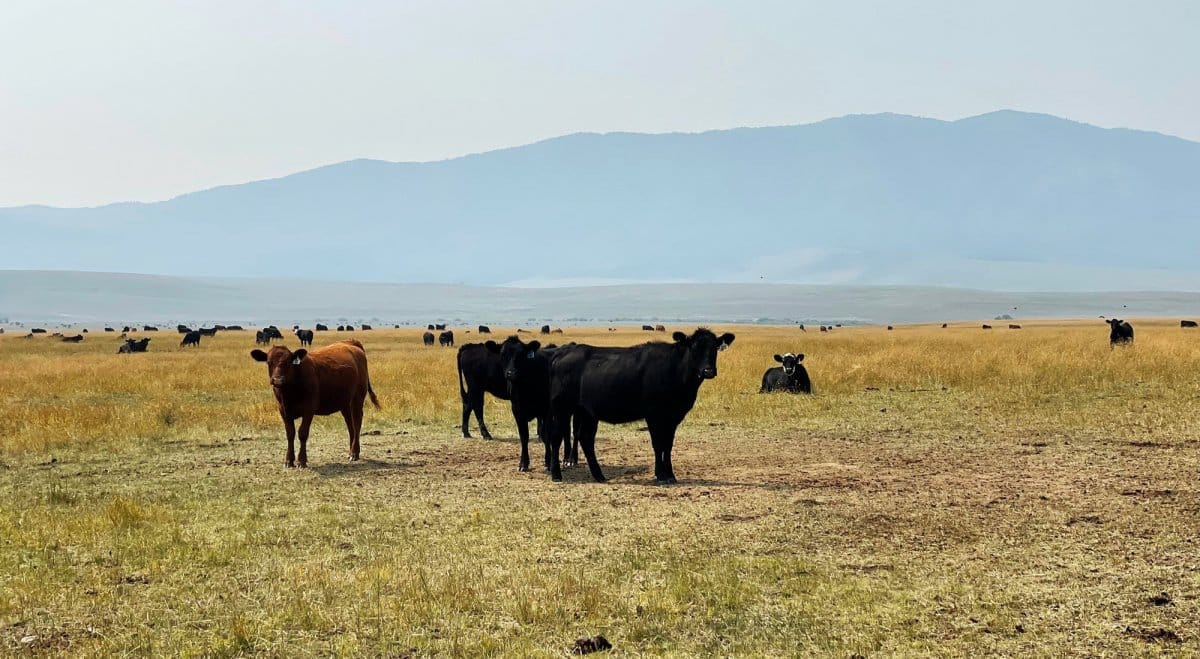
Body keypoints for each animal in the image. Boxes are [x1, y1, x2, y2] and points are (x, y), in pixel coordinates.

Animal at [250, 340, 379, 467]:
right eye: (269, 362)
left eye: (288, 362)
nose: (277, 380)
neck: (289, 392)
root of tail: (350, 343)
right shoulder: (284, 411)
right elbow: (290, 434)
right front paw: (289, 460)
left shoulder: (309, 409)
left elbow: (302, 433)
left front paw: (301, 460)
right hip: (345, 403)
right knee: (350, 425)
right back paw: (351, 451)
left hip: (357, 399)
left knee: (357, 423)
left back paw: (354, 453)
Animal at [546, 328, 736, 484]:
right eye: (694, 348)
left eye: (715, 348)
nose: (708, 371)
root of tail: (562, 353)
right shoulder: (653, 414)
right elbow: (658, 444)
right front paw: (660, 475)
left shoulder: (673, 417)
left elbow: (668, 445)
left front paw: (670, 475)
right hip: (562, 408)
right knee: (556, 437)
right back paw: (556, 474)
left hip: (587, 412)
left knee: (586, 439)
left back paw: (599, 475)